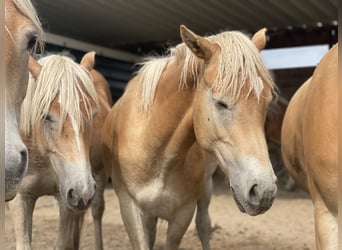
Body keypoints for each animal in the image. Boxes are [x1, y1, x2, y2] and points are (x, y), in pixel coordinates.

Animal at [8, 51, 111, 250]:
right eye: (46, 116)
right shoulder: (21, 199)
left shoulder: (66, 200)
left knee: (97, 212)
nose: (83, 191)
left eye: (93, 115)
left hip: (98, 177)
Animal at [101, 23, 278, 250]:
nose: (264, 191)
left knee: (203, 225)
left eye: (267, 101)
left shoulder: (183, 213)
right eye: (220, 103)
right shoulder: (129, 208)